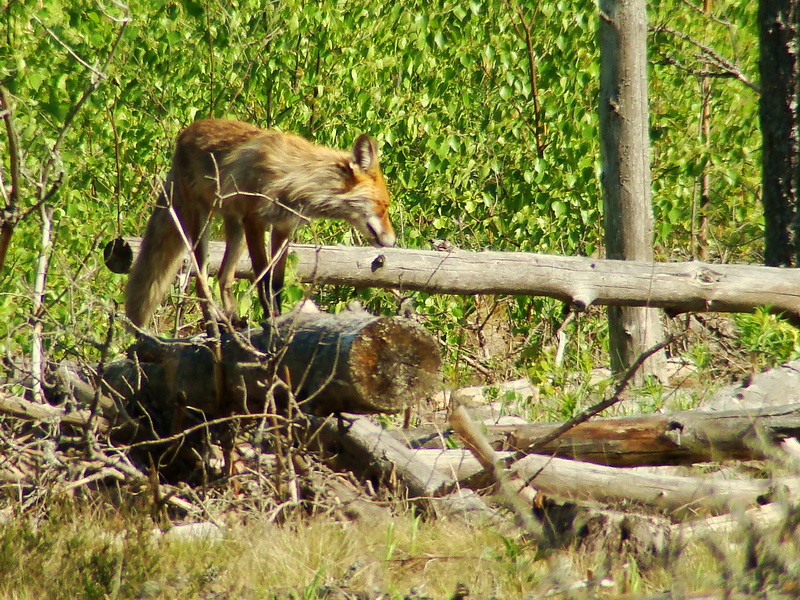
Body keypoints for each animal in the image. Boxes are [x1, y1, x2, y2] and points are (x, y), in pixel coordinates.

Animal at [123, 120, 396, 328]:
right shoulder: (254, 221)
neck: (296, 179)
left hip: (235, 230)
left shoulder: (283, 227)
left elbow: (275, 282)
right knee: (202, 282)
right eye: (383, 206)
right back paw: (214, 327)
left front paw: (278, 320)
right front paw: (271, 322)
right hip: (203, 222)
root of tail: (186, 133)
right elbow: (262, 279)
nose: (392, 242)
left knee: (224, 277)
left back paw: (233, 321)